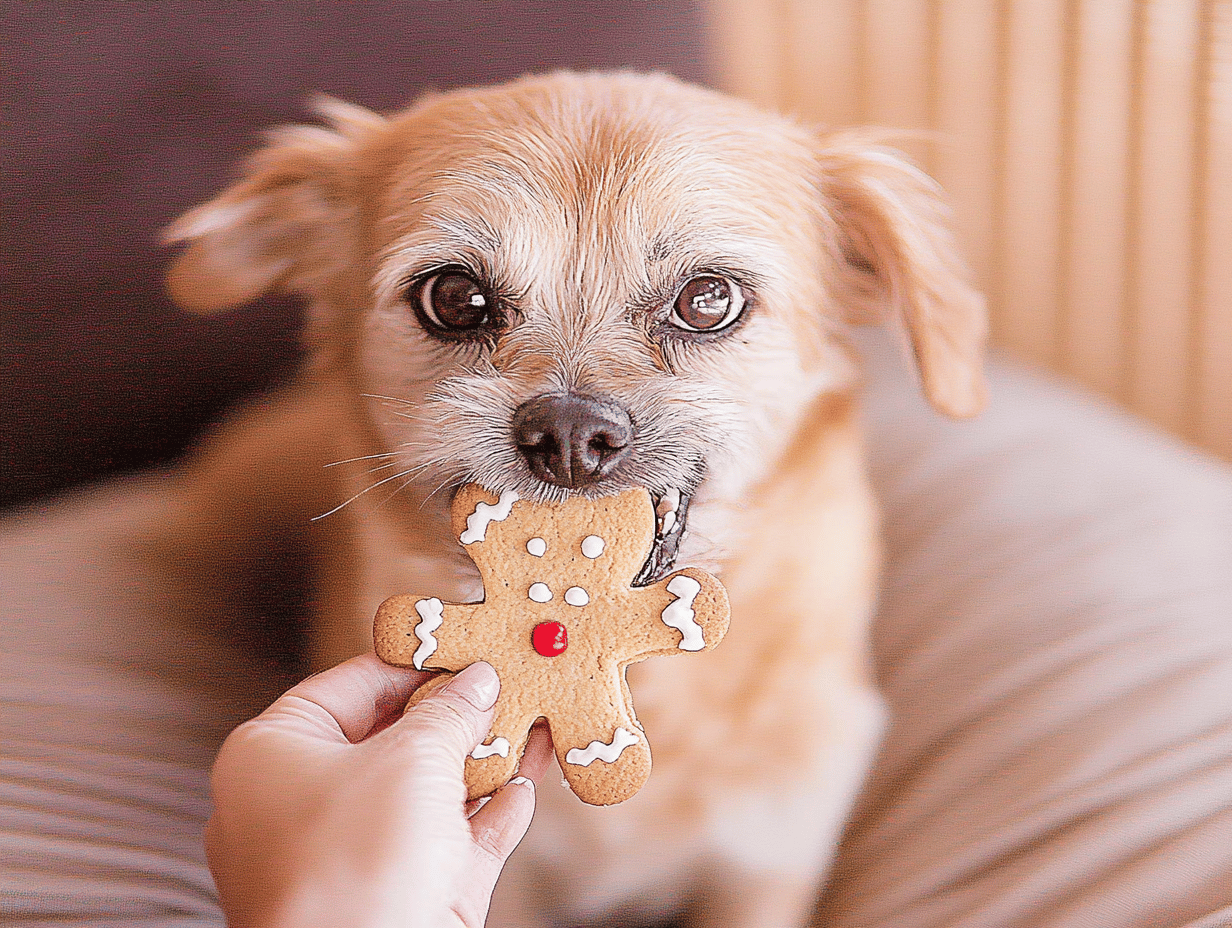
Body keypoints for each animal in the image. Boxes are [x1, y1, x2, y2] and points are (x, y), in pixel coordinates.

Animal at [163, 72, 985, 926]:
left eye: (708, 300)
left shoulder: (766, 857)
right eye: (454, 297)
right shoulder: (508, 881)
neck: (646, 688)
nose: (567, 435)